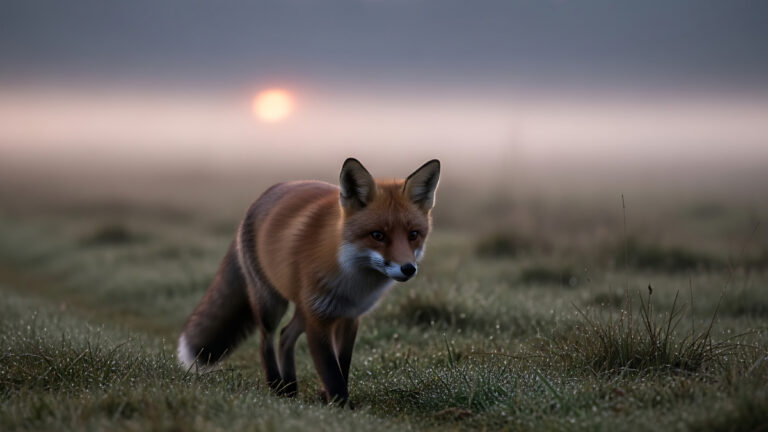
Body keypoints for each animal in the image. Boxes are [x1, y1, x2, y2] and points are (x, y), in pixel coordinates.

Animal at [177, 158, 440, 405]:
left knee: (285, 336)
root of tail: (260, 198)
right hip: (272, 304)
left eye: (413, 235)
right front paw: (341, 406)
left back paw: (290, 388)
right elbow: (331, 372)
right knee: (267, 340)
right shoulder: (319, 320)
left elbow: (342, 364)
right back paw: (276, 387)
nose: (408, 268)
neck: (351, 280)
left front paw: (327, 399)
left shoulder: (349, 317)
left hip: (302, 308)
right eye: (377, 235)